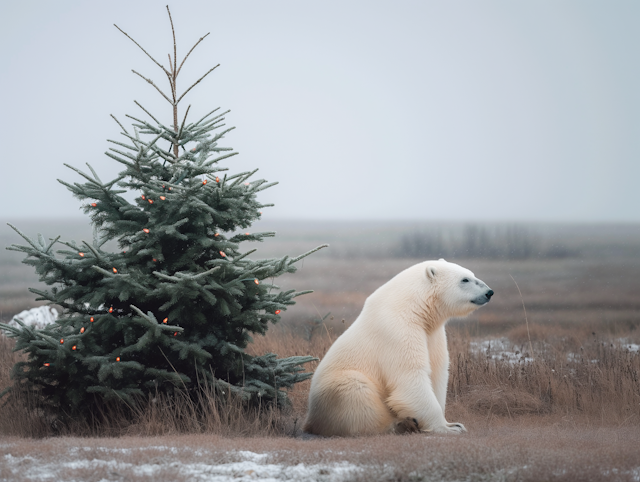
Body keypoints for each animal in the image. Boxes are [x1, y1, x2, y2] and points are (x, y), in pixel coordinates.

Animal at [302, 260, 492, 436]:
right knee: (356, 392)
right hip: (336, 386)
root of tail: (310, 421)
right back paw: (401, 424)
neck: (414, 306)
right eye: (465, 279)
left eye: (471, 274)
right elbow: (410, 376)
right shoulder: (397, 329)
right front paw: (448, 429)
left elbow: (437, 372)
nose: (489, 292)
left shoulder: (432, 333)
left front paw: (454, 423)